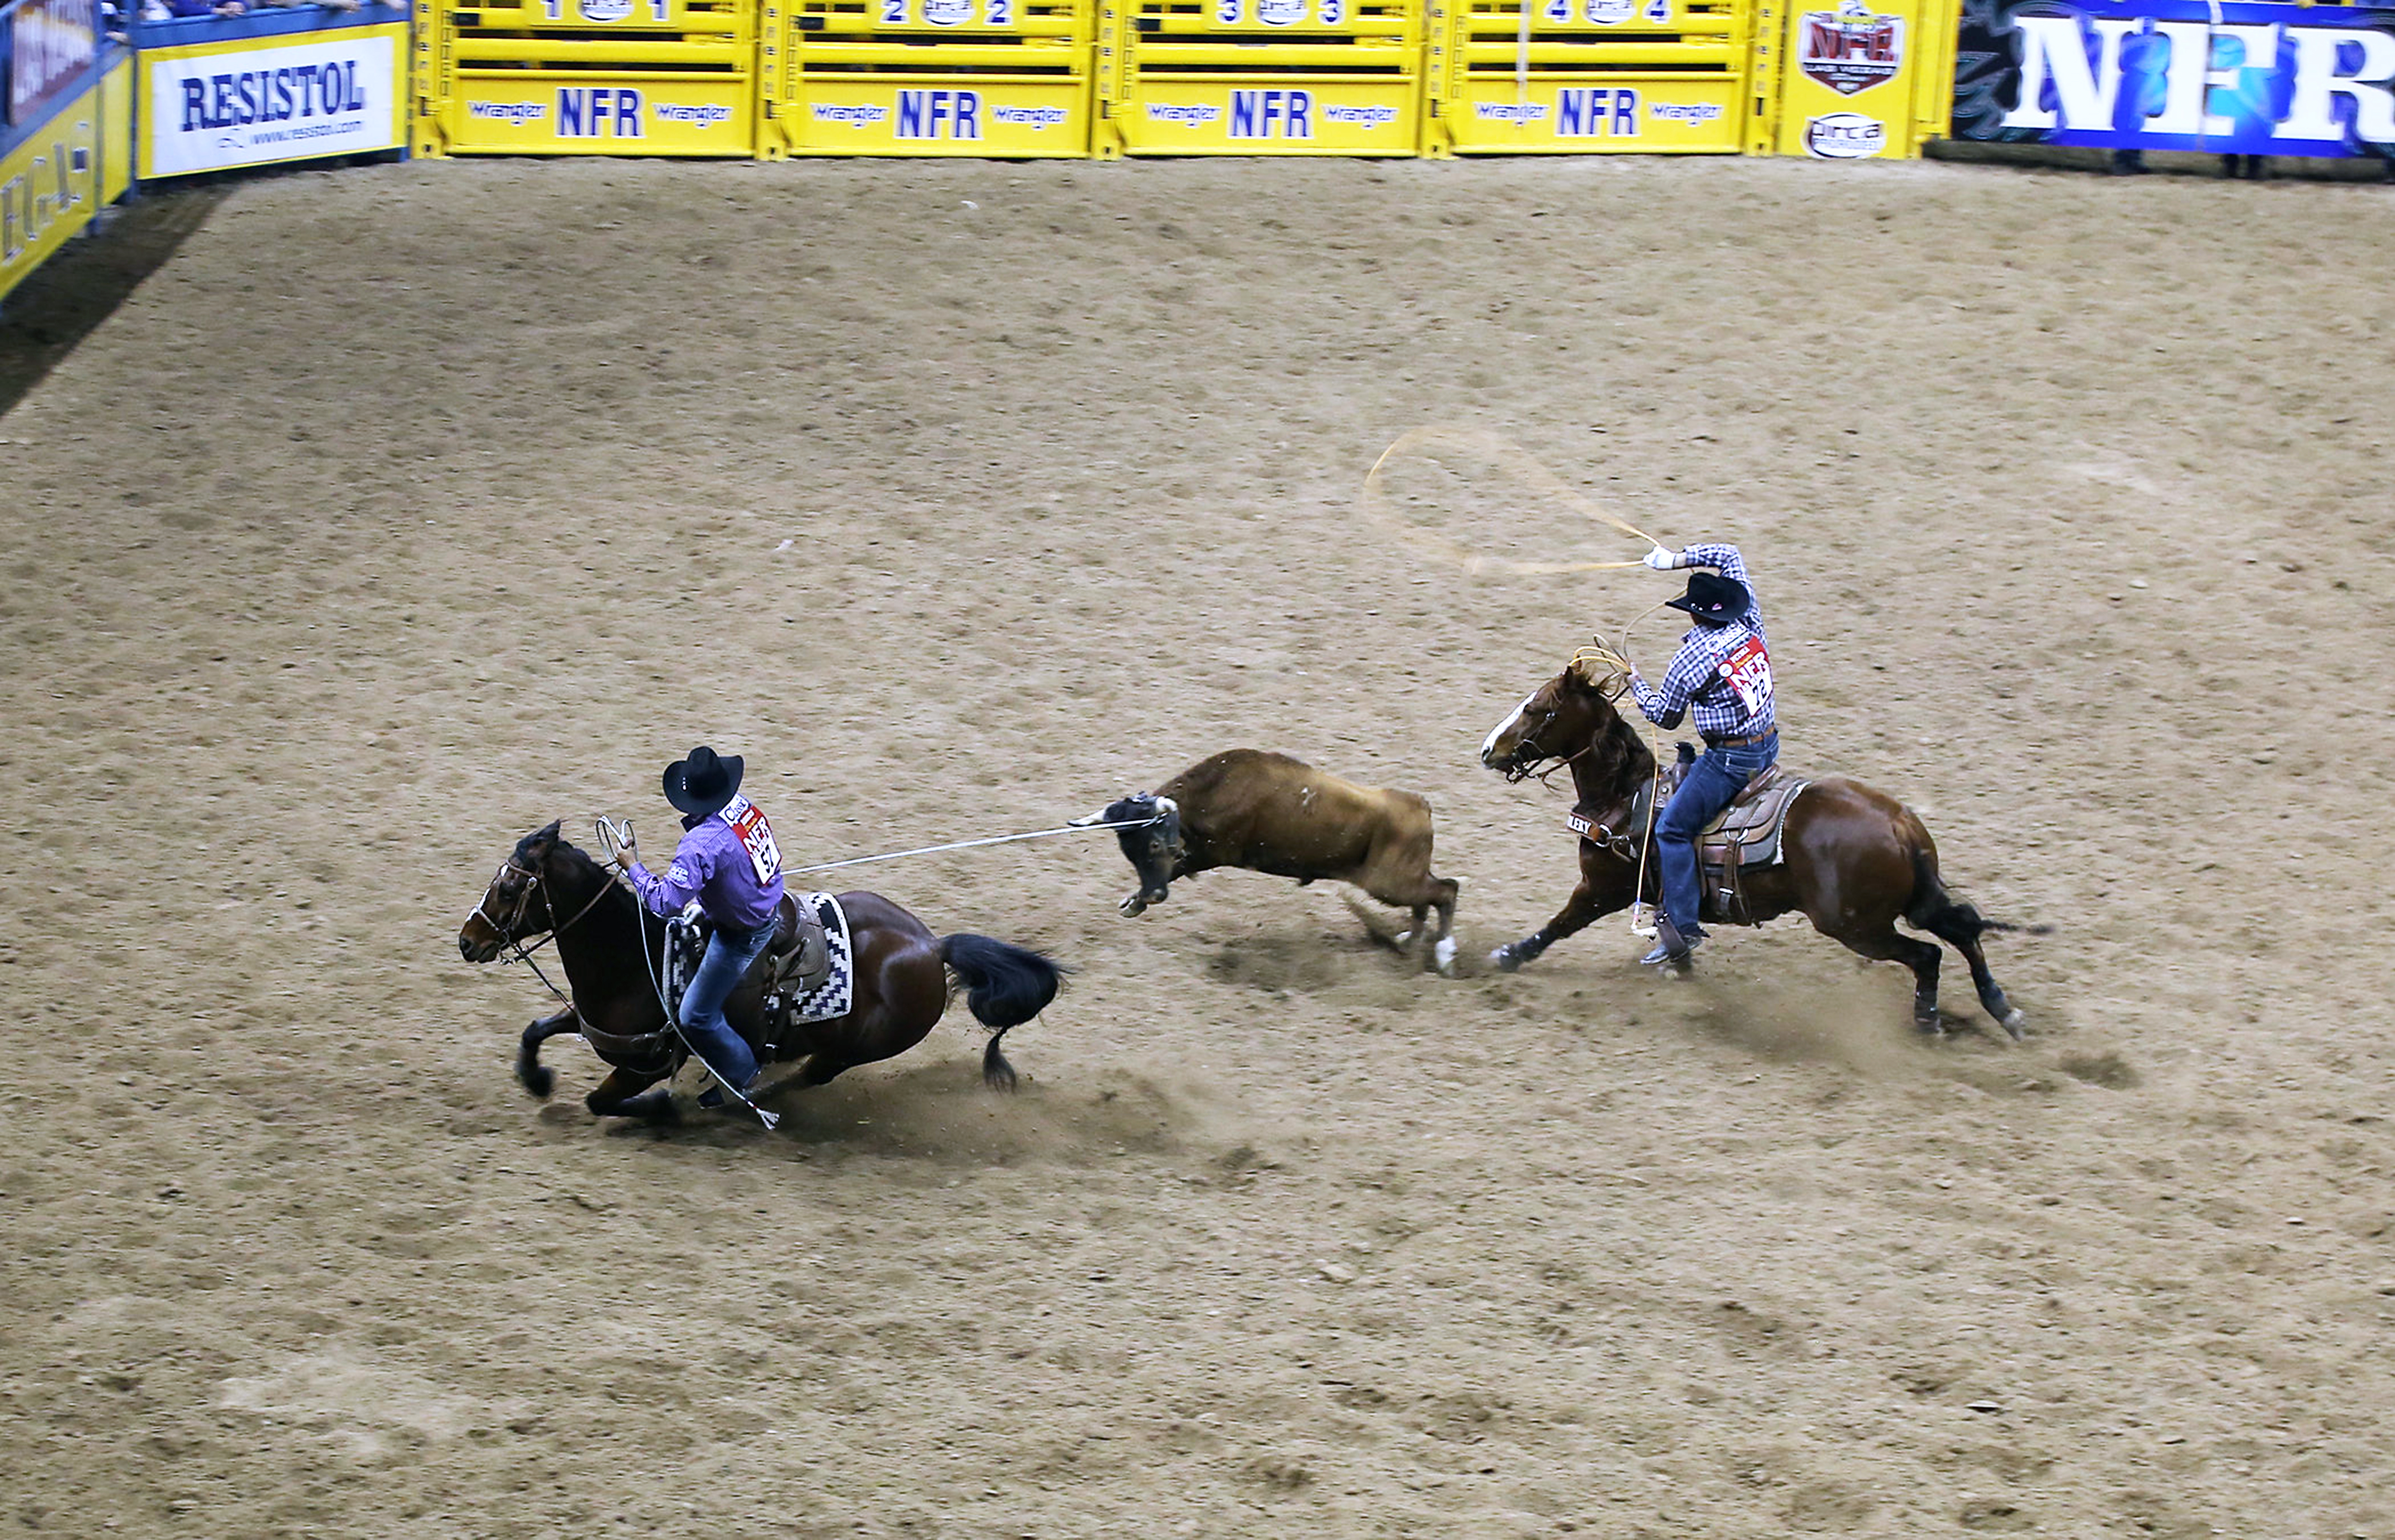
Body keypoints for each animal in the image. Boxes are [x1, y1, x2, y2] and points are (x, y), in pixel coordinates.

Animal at [457, 824, 1068, 1126]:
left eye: (509, 888)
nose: (468, 940)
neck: (636, 956)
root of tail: (932, 947)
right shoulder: (593, 1022)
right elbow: (535, 1029)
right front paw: (537, 1079)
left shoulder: (640, 1063)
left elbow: (600, 1101)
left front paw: (664, 1107)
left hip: (848, 1051)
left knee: (806, 1077)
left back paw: (726, 1098)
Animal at [1485, 656, 2031, 1044]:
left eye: (1536, 708)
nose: (1489, 749)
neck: (1625, 793)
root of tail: (1899, 825)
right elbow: (1677, 940)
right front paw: (1678, 973)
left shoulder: (1601, 888)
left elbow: (1558, 925)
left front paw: (1506, 956)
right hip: (1907, 903)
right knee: (1963, 932)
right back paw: (2004, 1011)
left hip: (1856, 926)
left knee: (1929, 954)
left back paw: (1929, 1022)